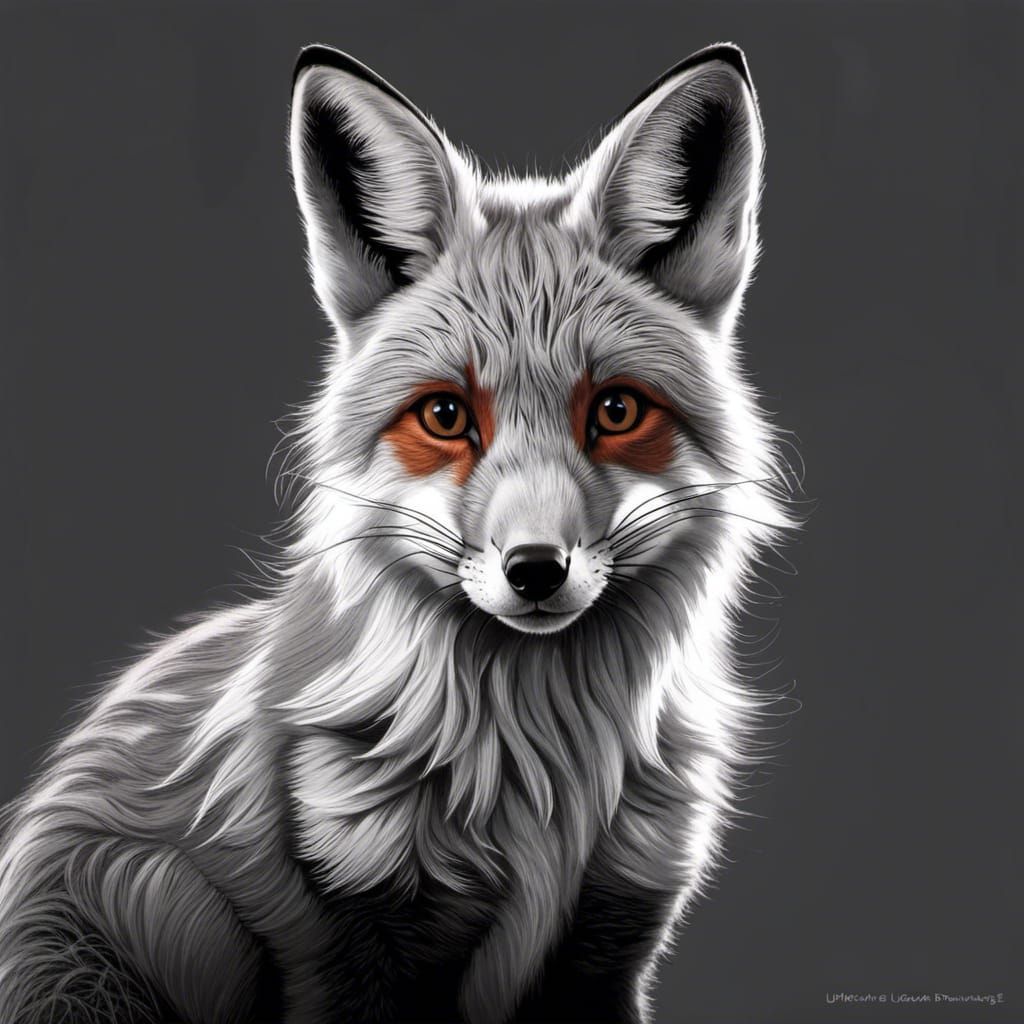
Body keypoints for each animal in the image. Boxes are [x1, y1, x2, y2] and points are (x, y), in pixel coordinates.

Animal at [0, 41, 794, 1024]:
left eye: (615, 410)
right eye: (446, 416)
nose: (536, 570)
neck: (544, 776)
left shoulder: (615, 927)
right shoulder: (353, 924)